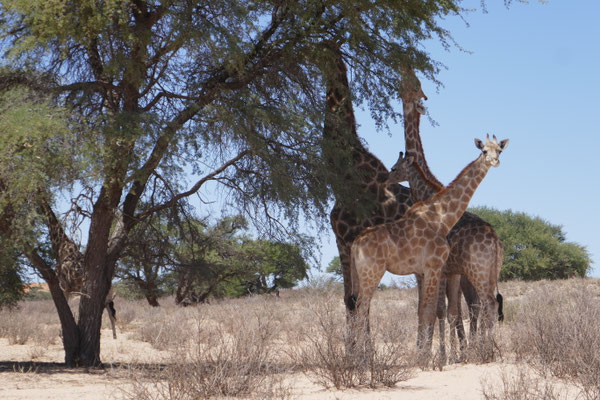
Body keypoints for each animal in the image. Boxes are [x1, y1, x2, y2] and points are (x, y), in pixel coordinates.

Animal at [41, 203, 118, 338]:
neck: (60, 246)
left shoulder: (64, 286)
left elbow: (64, 309)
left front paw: (62, 333)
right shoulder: (67, 288)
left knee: (109, 314)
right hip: (107, 297)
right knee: (111, 313)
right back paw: (114, 337)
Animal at [350, 136, 508, 358]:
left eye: (499, 150)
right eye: (484, 151)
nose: (495, 161)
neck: (441, 217)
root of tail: (355, 243)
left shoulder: (430, 271)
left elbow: (428, 311)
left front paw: (429, 354)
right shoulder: (435, 269)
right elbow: (432, 311)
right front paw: (433, 357)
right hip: (372, 273)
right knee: (362, 308)